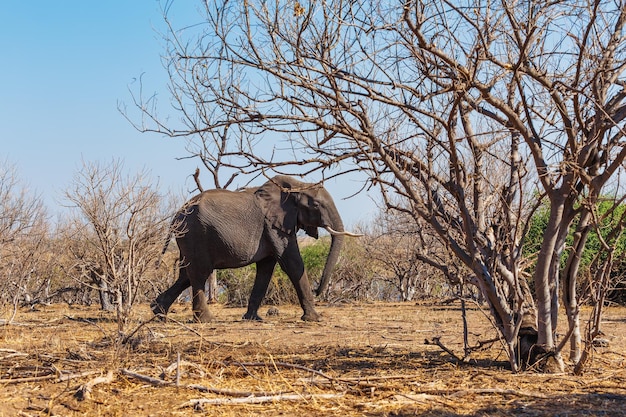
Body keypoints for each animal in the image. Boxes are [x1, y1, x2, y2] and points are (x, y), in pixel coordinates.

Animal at [151, 176, 358, 322]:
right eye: (316, 205)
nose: (317, 290)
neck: (297, 186)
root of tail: (177, 214)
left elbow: (266, 269)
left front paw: (252, 319)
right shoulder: (274, 226)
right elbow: (292, 264)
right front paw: (315, 318)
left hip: (188, 237)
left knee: (185, 275)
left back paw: (158, 312)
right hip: (195, 234)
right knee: (199, 273)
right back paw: (205, 320)